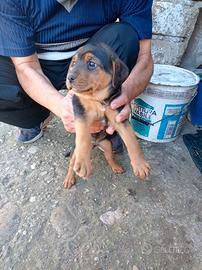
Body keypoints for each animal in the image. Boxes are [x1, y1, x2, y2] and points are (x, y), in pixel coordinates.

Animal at [64, 43, 151, 189]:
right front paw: (83, 164)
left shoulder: (119, 116)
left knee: (109, 156)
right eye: (73, 63)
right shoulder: (80, 111)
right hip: (75, 151)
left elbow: (131, 140)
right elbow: (83, 136)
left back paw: (116, 167)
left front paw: (140, 165)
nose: (69, 77)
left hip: (107, 144)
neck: (98, 99)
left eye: (92, 64)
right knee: (71, 163)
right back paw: (69, 178)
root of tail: (95, 144)